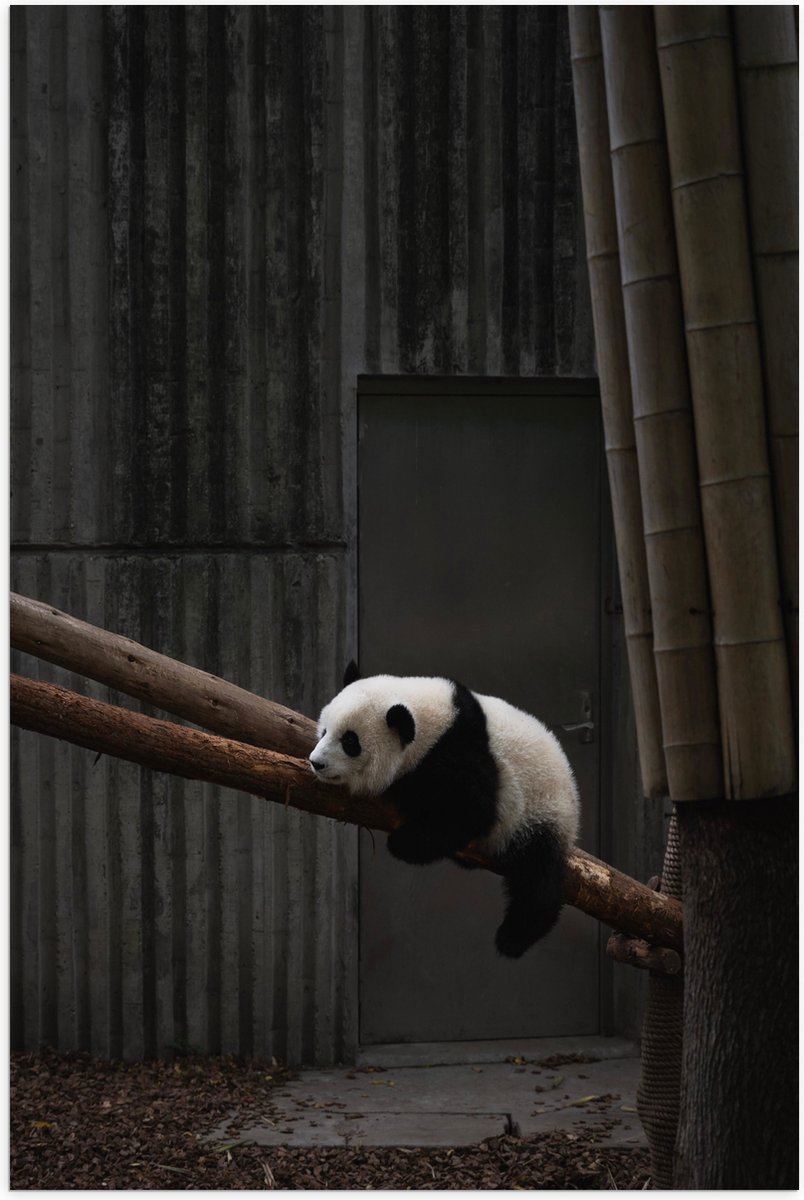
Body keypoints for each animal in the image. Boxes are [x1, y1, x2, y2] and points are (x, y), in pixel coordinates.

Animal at [309, 665, 580, 958]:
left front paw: (404, 839)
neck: (436, 724)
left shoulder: (462, 752)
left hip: (540, 812)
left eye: (350, 741)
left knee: (537, 878)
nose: (316, 763)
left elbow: (472, 812)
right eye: (324, 731)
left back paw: (514, 937)